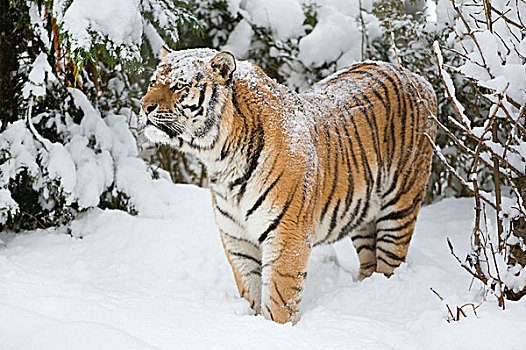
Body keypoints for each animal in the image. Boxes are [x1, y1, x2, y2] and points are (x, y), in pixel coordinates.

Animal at [141, 46, 442, 326]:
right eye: (153, 82)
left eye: (179, 86)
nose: (144, 106)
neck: (221, 161)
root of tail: (417, 78)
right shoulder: (237, 238)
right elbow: (251, 290)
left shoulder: (287, 235)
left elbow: (278, 297)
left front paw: (276, 331)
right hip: (363, 213)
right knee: (370, 261)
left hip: (400, 205)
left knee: (391, 262)